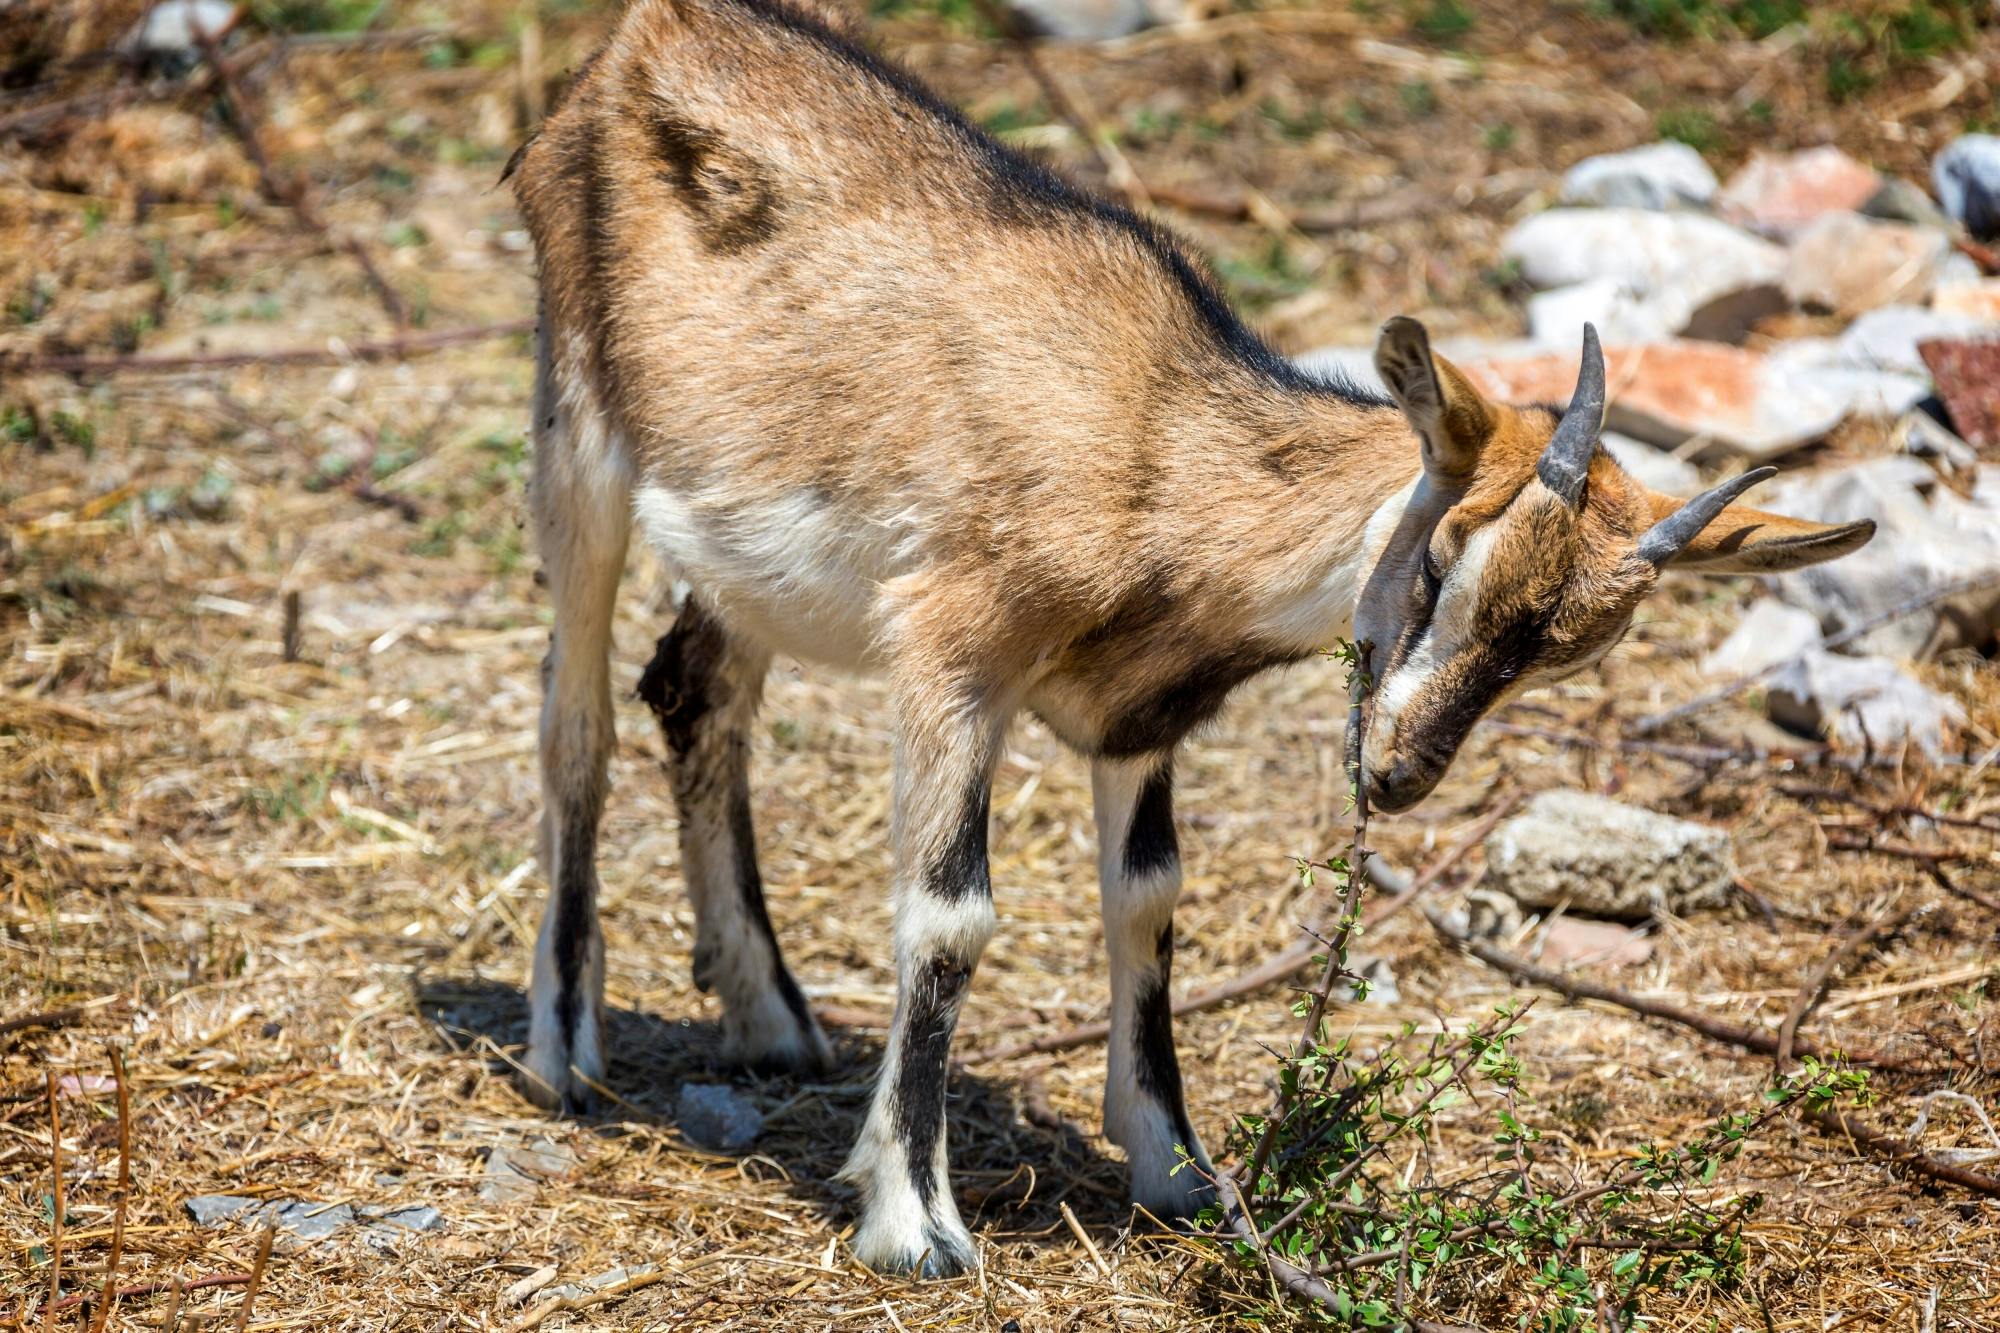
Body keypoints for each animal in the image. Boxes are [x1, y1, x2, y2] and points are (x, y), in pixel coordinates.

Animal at [504, 0, 1872, 1272]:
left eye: (1570, 652)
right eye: (1442, 558)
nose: (1396, 773)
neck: (1154, 452)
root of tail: (635, 43)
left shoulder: (1139, 716)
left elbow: (1149, 899)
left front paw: (1179, 1167)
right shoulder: (951, 653)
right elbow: (949, 916)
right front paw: (914, 1219)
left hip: (736, 555)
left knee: (693, 689)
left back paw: (770, 1017)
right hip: (579, 424)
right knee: (573, 718)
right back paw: (564, 1044)